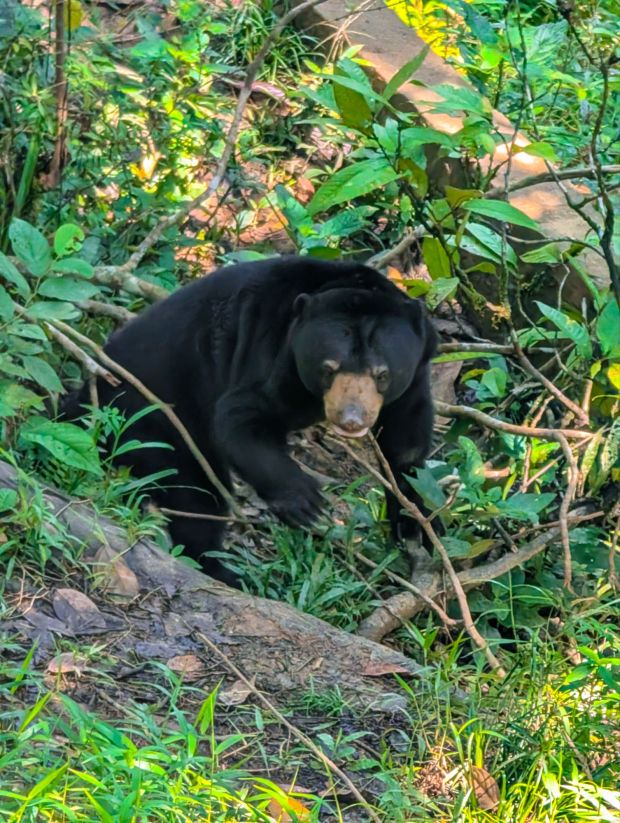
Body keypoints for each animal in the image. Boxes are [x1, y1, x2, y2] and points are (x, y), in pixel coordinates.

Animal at [64, 257, 437, 584]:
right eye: (328, 369)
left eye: (382, 374)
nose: (351, 419)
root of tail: (89, 392)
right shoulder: (275, 356)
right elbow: (241, 417)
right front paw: (305, 501)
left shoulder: (417, 373)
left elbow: (406, 443)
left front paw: (415, 523)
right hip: (153, 419)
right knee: (197, 493)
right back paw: (225, 571)